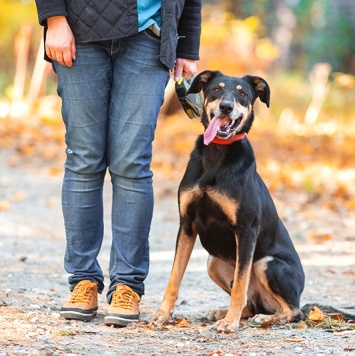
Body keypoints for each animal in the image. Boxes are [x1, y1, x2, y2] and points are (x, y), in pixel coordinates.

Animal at [149, 70, 306, 334]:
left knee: (293, 311)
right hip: (213, 261)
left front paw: (230, 322)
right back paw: (223, 312)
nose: (226, 107)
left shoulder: (246, 230)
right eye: (216, 89)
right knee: (252, 304)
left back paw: (261, 318)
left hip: (266, 263)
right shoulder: (187, 224)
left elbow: (240, 285)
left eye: (242, 94)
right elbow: (174, 277)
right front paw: (162, 314)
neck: (218, 153)